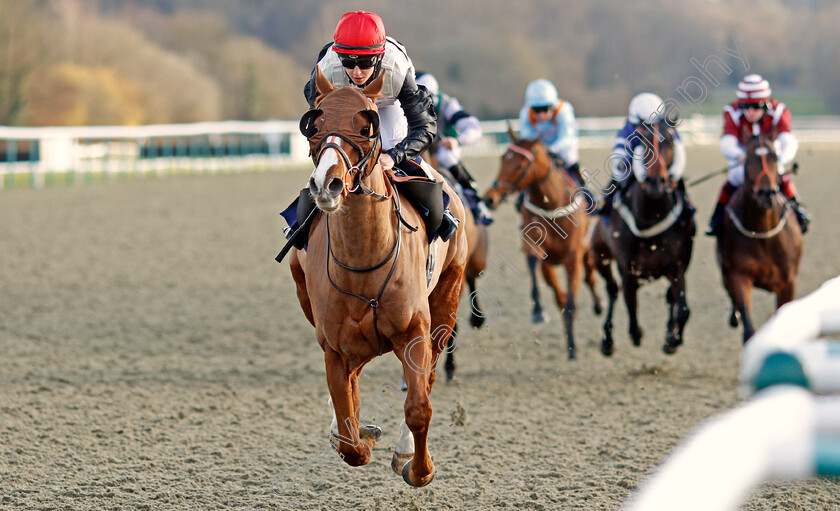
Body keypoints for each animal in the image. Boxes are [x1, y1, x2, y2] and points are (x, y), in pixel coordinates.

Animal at [288, 68, 470, 488]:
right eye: (314, 124)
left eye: (366, 125)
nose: (327, 183)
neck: (363, 259)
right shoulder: (335, 347)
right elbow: (349, 436)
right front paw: (360, 436)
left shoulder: (415, 331)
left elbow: (419, 406)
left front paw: (417, 467)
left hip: (448, 300)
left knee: (428, 376)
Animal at [482, 128, 600, 360]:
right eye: (503, 158)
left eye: (520, 165)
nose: (490, 198)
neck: (552, 202)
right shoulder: (537, 249)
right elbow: (533, 264)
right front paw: (538, 310)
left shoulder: (573, 257)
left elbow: (572, 302)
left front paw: (573, 349)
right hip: (551, 266)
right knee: (560, 295)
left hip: (586, 253)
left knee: (590, 279)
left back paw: (598, 307)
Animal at [584, 122, 696, 358]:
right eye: (642, 142)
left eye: (670, 141)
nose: (655, 182)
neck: (649, 219)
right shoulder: (627, 268)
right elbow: (630, 303)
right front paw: (637, 334)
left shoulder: (677, 266)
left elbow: (683, 308)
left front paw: (672, 339)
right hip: (599, 257)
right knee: (613, 291)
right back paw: (607, 339)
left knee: (669, 298)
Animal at [720, 136, 804, 344]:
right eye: (748, 159)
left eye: (774, 157)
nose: (766, 194)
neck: (763, 234)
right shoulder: (739, 275)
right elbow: (749, 330)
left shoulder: (787, 282)